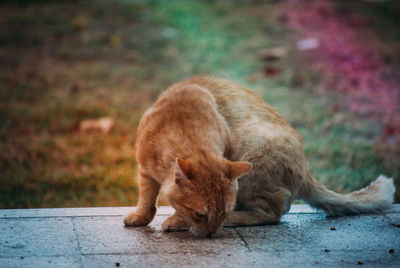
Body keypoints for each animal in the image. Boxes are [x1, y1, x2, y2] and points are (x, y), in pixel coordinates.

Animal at [124, 76, 394, 236]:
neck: (179, 122)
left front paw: (178, 221)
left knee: (274, 211)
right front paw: (141, 216)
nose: (212, 233)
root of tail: (306, 168)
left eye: (222, 213)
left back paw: (239, 217)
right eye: (201, 214)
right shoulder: (145, 170)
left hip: (255, 159)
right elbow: (147, 198)